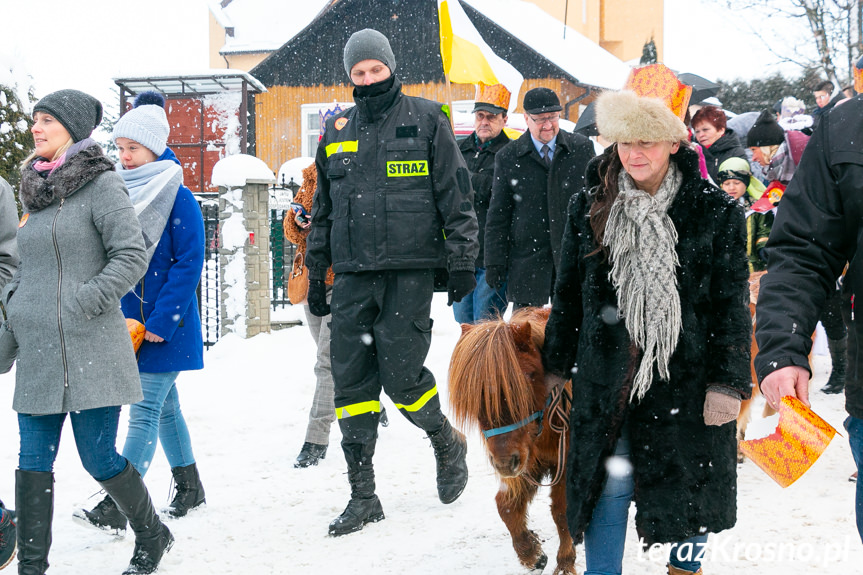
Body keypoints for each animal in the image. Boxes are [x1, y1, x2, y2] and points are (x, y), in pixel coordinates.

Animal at [448, 310, 576, 575]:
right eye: (474, 396)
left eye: (527, 379)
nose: (504, 463)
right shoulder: (528, 462)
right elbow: (505, 506)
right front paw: (532, 554)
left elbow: (562, 511)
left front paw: (565, 562)